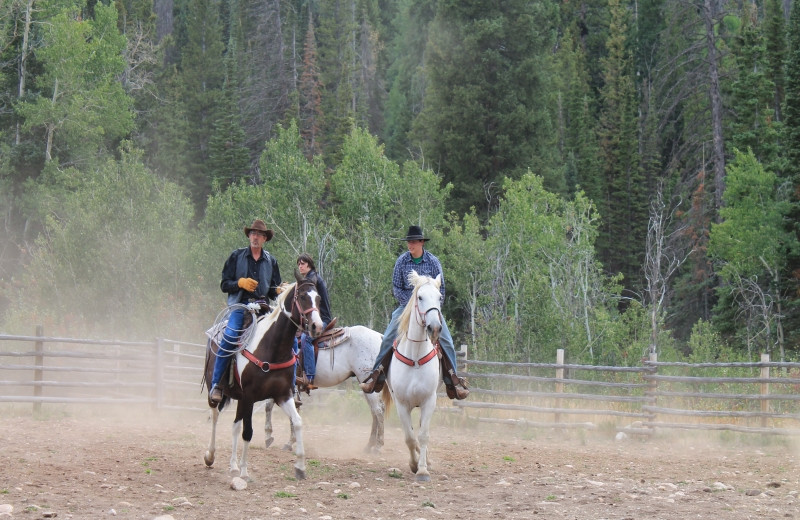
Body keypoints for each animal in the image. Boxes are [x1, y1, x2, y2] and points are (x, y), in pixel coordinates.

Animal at [264, 328, 392, 452]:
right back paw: (369, 445)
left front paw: (272, 437)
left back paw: (378, 446)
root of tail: (380, 337)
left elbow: (276, 407)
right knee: (374, 411)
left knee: (378, 410)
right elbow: (283, 408)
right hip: (366, 384)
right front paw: (288, 441)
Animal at [384, 270, 440, 482]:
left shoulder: (429, 401)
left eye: (440, 297)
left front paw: (423, 470)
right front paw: (414, 465)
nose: (435, 327)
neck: (415, 357)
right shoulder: (401, 404)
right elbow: (409, 437)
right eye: (420, 297)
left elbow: (423, 435)